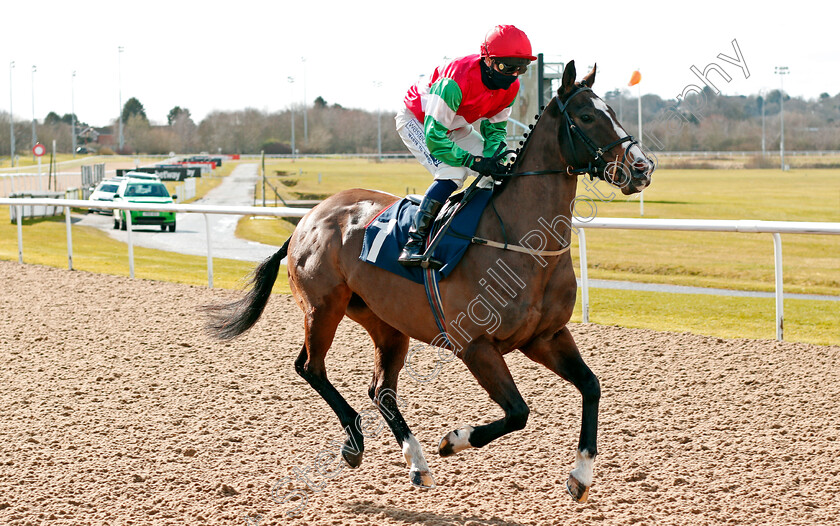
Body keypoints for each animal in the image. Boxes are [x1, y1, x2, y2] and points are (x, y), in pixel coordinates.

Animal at [203, 60, 656, 504]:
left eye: (614, 112)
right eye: (587, 116)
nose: (642, 167)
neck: (523, 244)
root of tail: (308, 217)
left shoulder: (546, 336)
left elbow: (591, 387)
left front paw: (580, 475)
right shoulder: (475, 345)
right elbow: (517, 412)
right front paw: (453, 440)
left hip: (386, 322)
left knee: (381, 389)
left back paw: (415, 461)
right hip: (322, 307)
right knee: (311, 368)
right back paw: (358, 442)